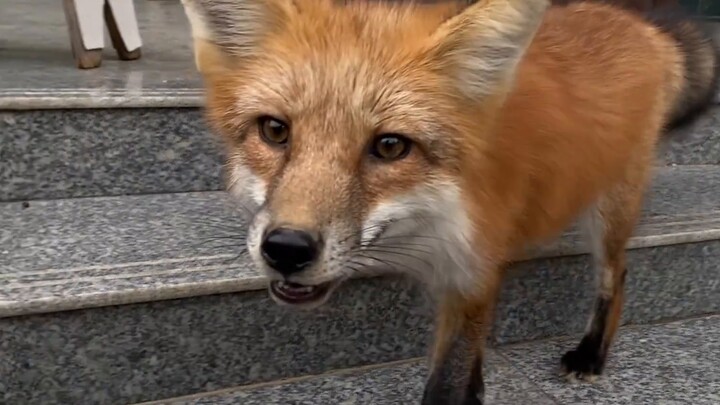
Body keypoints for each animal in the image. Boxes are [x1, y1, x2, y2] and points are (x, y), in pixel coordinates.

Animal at [180, 0, 718, 403]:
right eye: (275, 131)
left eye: (390, 146)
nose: (287, 249)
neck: (431, 222)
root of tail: (639, 23)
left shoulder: (474, 268)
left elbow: (449, 377)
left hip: (610, 209)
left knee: (616, 275)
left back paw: (591, 354)